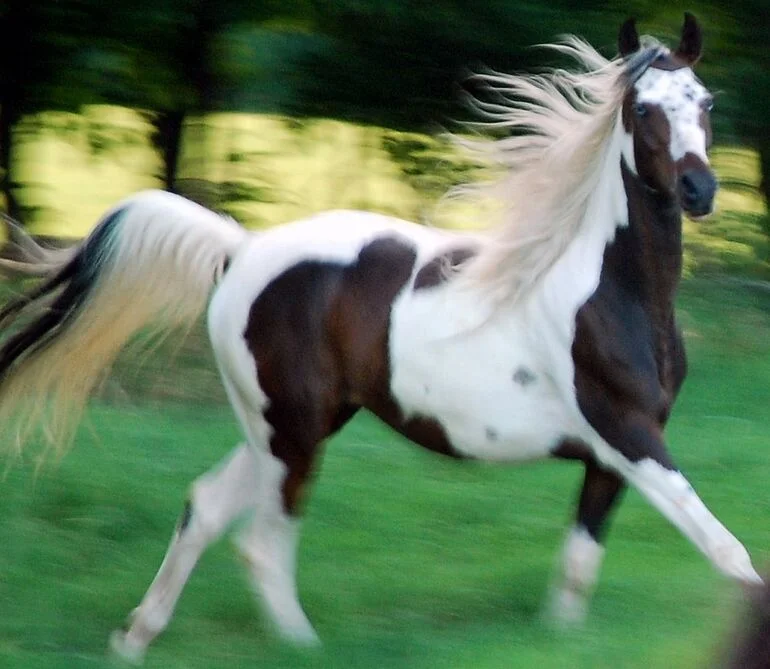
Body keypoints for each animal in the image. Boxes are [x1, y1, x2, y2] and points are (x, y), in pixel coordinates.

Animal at [0, 13, 761, 664]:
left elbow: (576, 575)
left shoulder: (609, 459)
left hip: (284, 427)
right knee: (263, 542)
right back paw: (301, 647)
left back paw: (133, 638)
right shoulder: (630, 436)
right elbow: (730, 554)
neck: (608, 295)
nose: (699, 190)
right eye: (642, 109)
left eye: (705, 100)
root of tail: (241, 250)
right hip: (294, 434)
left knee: (206, 508)